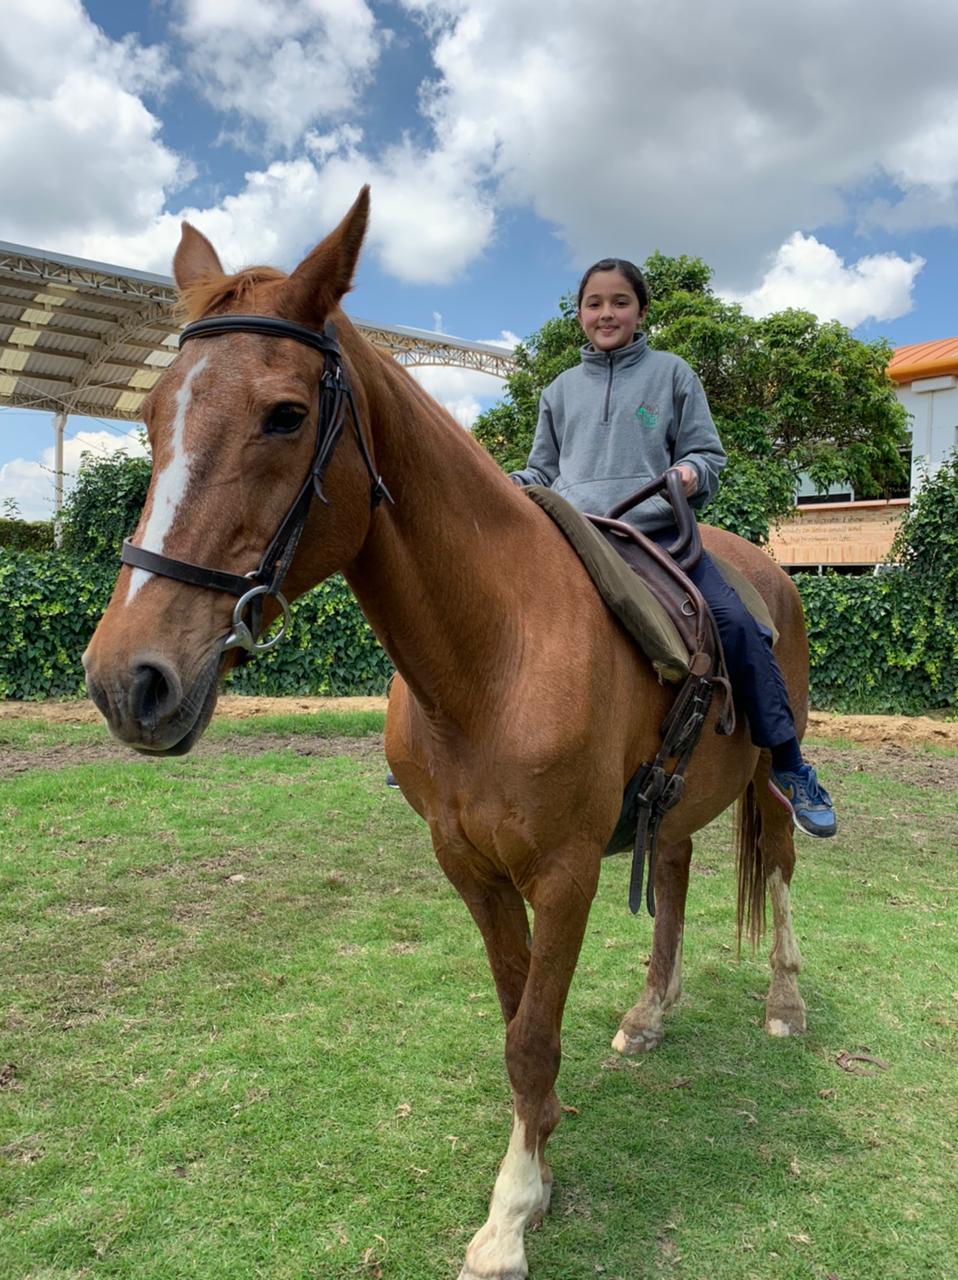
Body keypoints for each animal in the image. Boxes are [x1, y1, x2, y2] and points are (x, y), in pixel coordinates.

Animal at [83, 187, 808, 1280]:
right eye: (150, 415)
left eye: (286, 414)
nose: (129, 679)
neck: (494, 656)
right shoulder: (471, 867)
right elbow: (517, 1020)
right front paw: (538, 1153)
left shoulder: (564, 871)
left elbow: (532, 1035)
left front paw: (509, 1214)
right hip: (675, 805)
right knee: (679, 872)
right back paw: (651, 1010)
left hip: (773, 773)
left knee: (780, 870)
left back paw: (783, 1003)